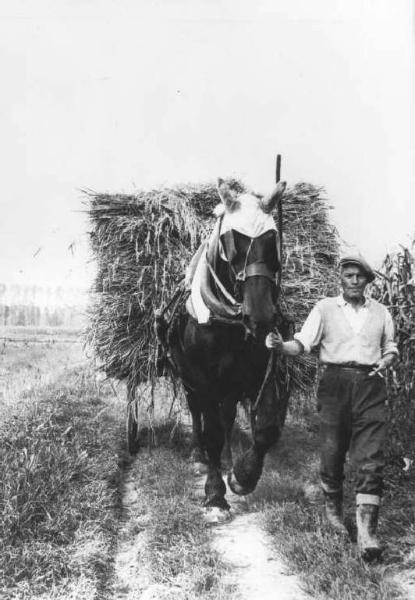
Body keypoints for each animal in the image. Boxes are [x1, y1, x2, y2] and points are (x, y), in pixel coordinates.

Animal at [165, 179, 292, 510]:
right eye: (231, 241)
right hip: (188, 379)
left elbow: (266, 428)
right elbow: (211, 432)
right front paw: (214, 493)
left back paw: (227, 459)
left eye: (272, 239)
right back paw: (200, 456)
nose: (260, 316)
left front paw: (243, 476)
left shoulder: (261, 371)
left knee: (227, 417)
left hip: (230, 385)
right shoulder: (203, 379)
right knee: (198, 413)